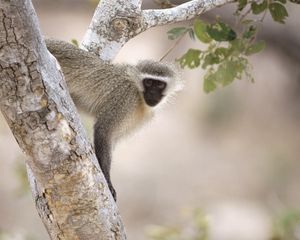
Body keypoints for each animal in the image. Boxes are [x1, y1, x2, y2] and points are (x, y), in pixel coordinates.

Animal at [45, 39, 182, 200]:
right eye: (148, 83)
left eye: (159, 84)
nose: (153, 93)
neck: (139, 96)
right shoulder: (125, 98)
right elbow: (103, 131)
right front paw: (107, 179)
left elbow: (111, 140)